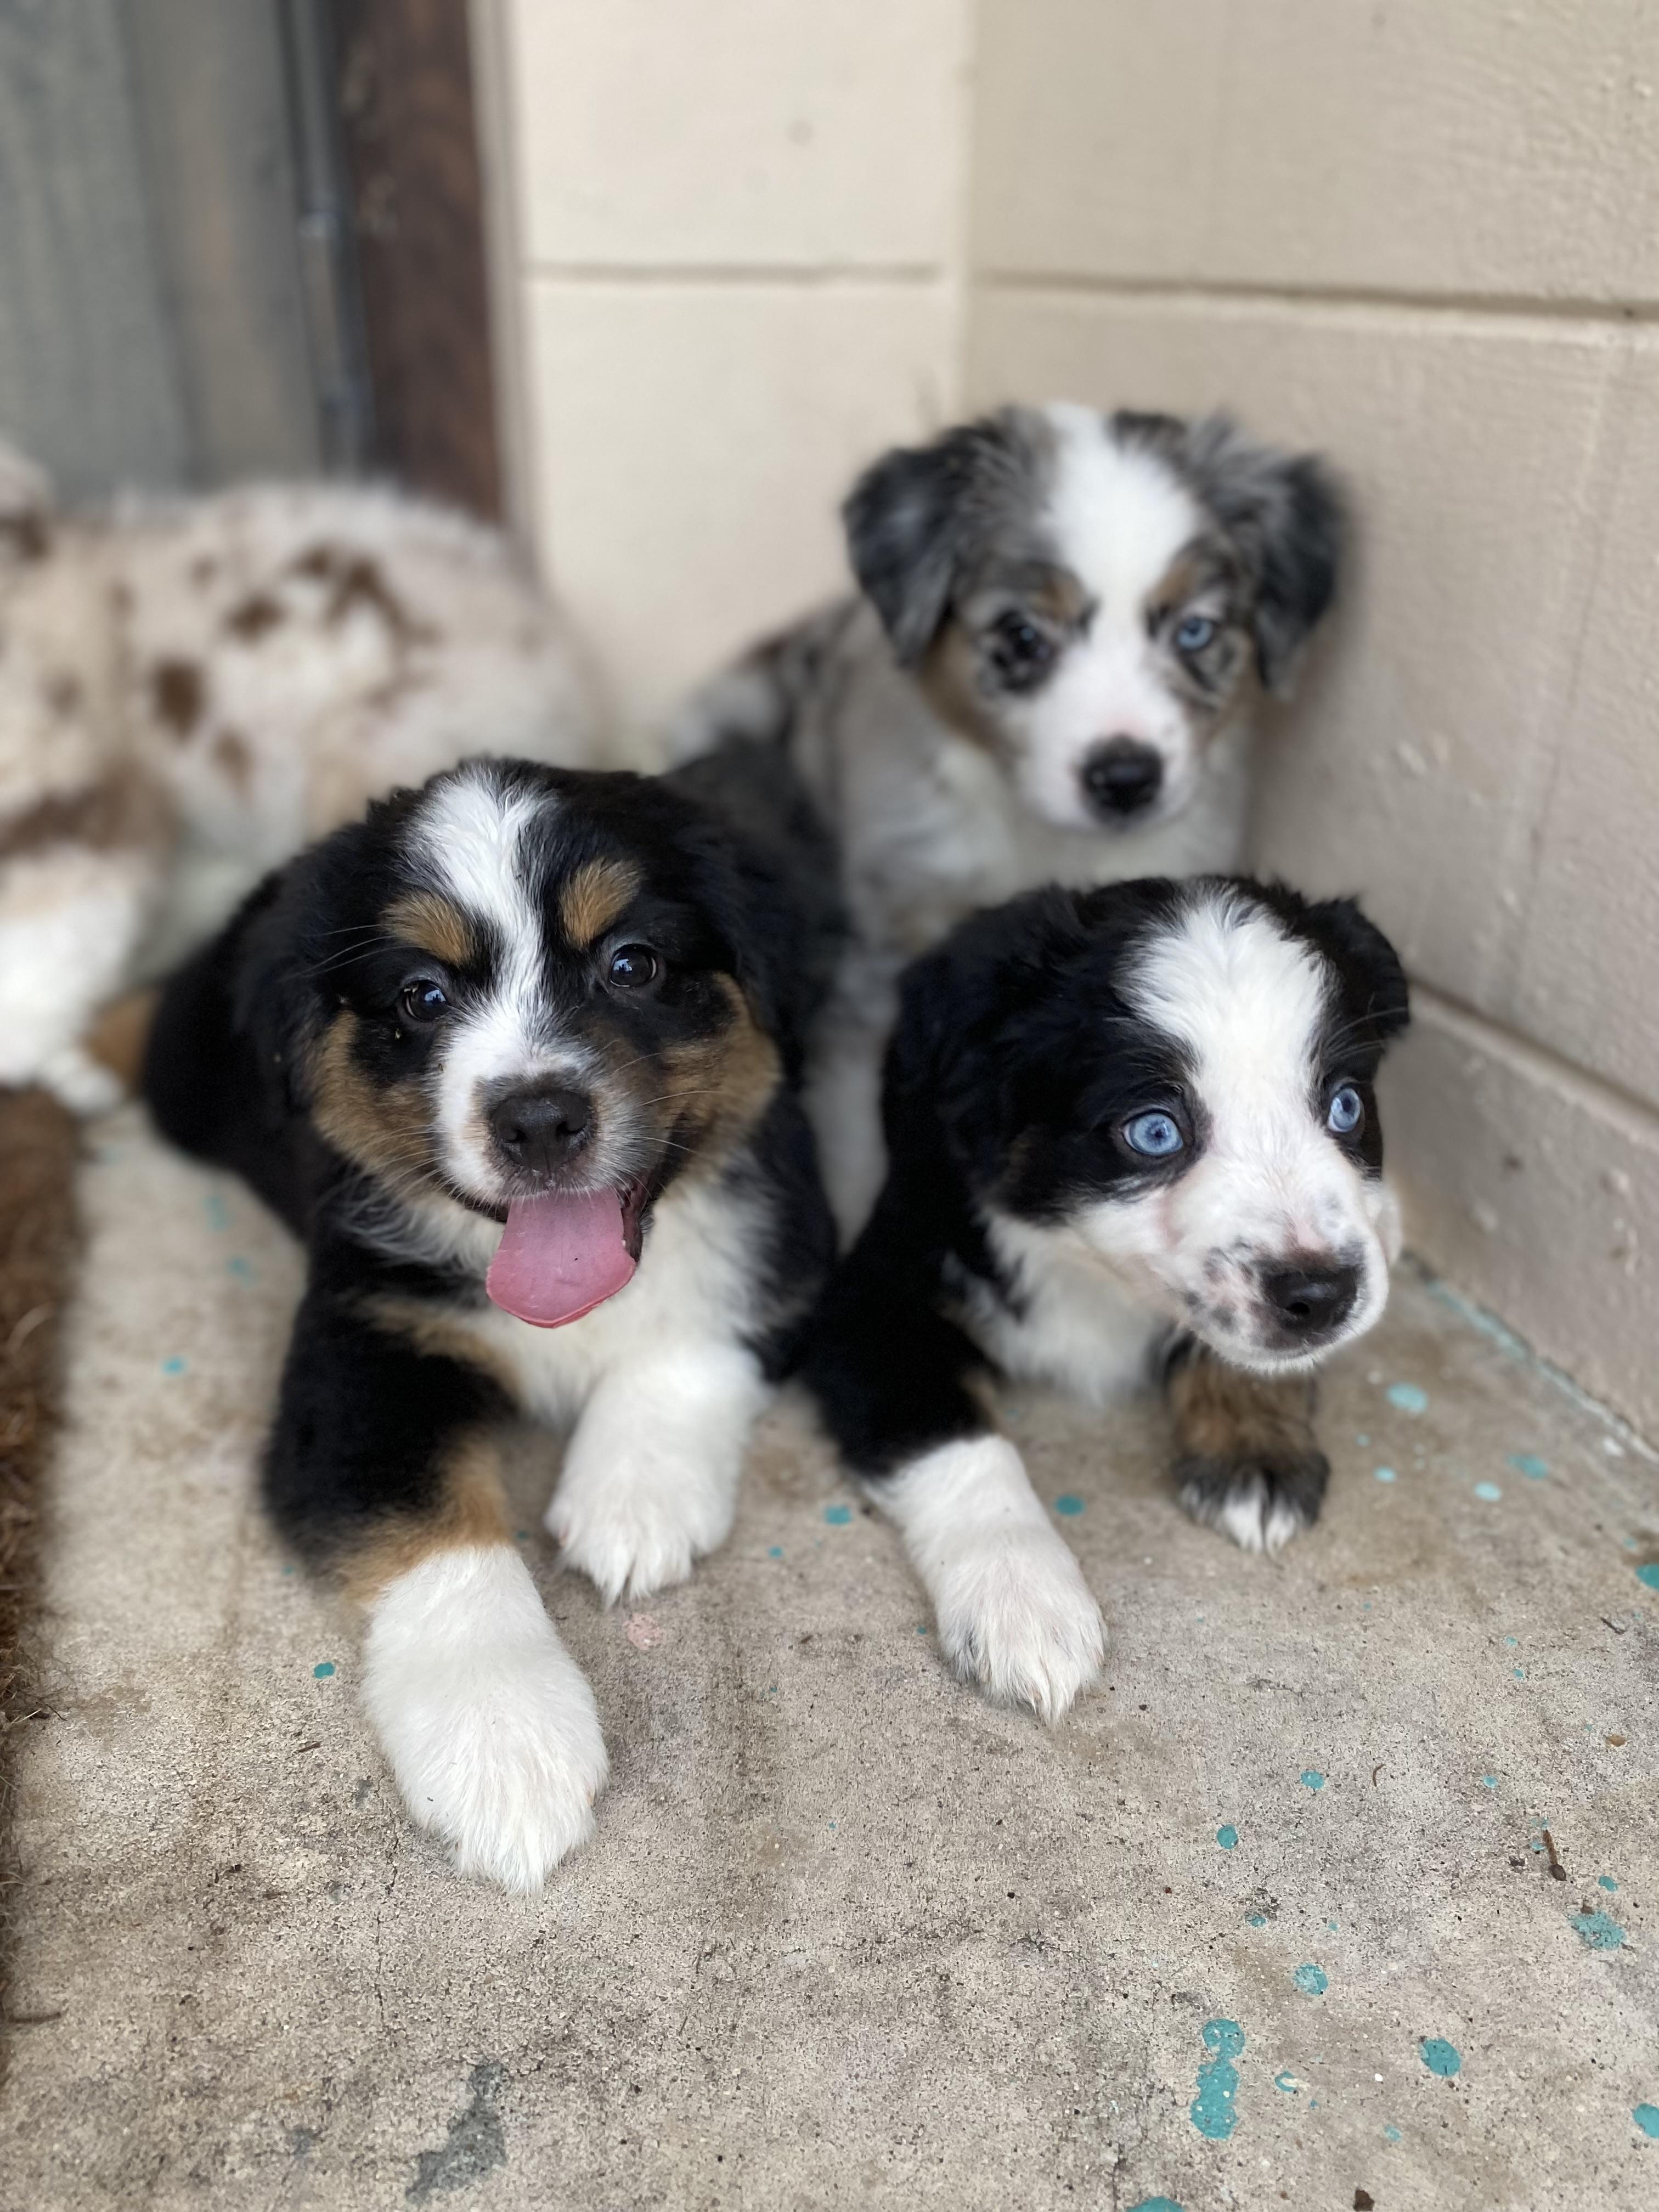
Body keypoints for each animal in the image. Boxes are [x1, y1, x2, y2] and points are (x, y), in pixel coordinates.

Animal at [143, 741, 841, 1889]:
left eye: (632, 965)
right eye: (421, 995)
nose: (539, 1118)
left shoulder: (784, 1240)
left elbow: (690, 1334)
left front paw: (633, 1499)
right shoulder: (362, 1349)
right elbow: (433, 1529)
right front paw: (505, 1747)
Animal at [670, 402, 1344, 1235]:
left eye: (1195, 632)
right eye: (1023, 636)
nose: (1126, 779)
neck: (1041, 837)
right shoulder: (883, 959)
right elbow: (857, 1144)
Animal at [800, 875, 1409, 1721]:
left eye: (1347, 1106)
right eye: (1154, 1132)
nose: (1322, 1294)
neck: (1086, 1264)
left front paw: (1253, 1452)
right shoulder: (873, 1299)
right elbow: (961, 1440)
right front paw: (1024, 1600)